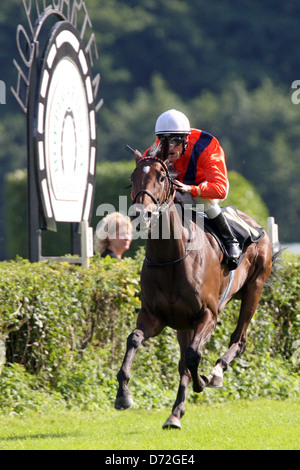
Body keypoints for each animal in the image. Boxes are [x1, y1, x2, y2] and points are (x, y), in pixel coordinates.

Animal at [115, 138, 274, 428]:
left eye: (162, 177)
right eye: (132, 177)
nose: (142, 214)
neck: (171, 258)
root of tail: (253, 223)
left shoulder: (208, 314)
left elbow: (192, 356)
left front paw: (204, 380)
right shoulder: (154, 317)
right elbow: (134, 339)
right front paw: (123, 395)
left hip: (254, 288)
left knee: (238, 340)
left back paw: (216, 372)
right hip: (183, 324)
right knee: (183, 361)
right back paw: (174, 414)